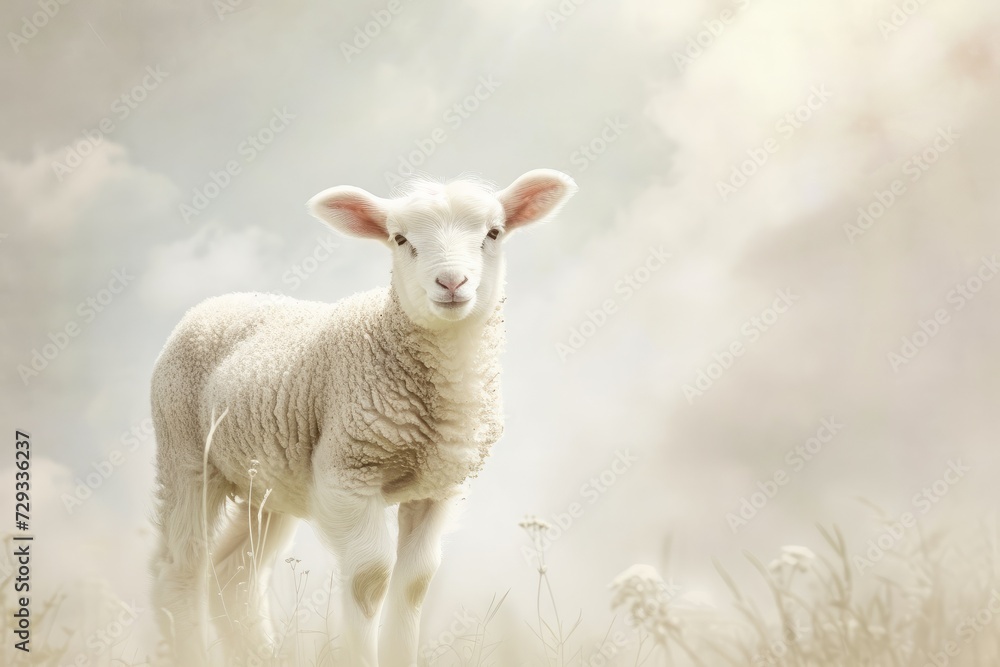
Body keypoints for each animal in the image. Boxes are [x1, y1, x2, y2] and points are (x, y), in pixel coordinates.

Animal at [149, 168, 577, 666]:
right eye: (399, 239)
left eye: (493, 233)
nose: (451, 282)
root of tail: (216, 302)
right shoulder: (347, 474)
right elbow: (369, 581)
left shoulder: (439, 489)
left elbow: (414, 586)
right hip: (185, 454)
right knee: (180, 570)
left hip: (270, 482)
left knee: (234, 575)